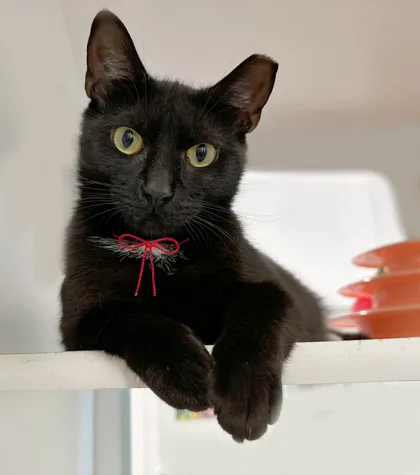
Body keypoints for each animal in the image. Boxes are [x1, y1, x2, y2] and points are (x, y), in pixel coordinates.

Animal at [60, 9, 328, 443]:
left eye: (202, 153)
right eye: (127, 139)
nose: (157, 191)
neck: (158, 253)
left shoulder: (274, 290)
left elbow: (261, 304)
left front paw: (244, 396)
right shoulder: (77, 319)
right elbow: (131, 316)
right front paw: (186, 371)